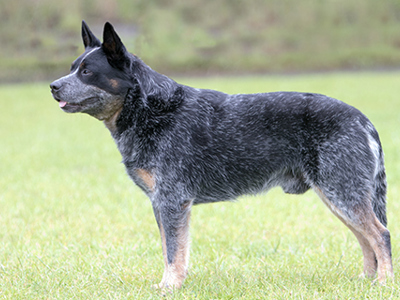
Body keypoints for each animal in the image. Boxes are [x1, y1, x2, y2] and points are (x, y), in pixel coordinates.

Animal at [48, 20, 392, 288]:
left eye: (87, 71)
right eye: (72, 68)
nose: (53, 86)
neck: (151, 109)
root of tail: (362, 119)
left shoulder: (172, 201)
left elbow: (173, 250)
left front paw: (169, 286)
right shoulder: (162, 202)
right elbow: (172, 247)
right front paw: (174, 283)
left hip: (342, 192)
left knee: (381, 234)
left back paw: (384, 282)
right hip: (339, 195)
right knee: (366, 239)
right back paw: (366, 281)